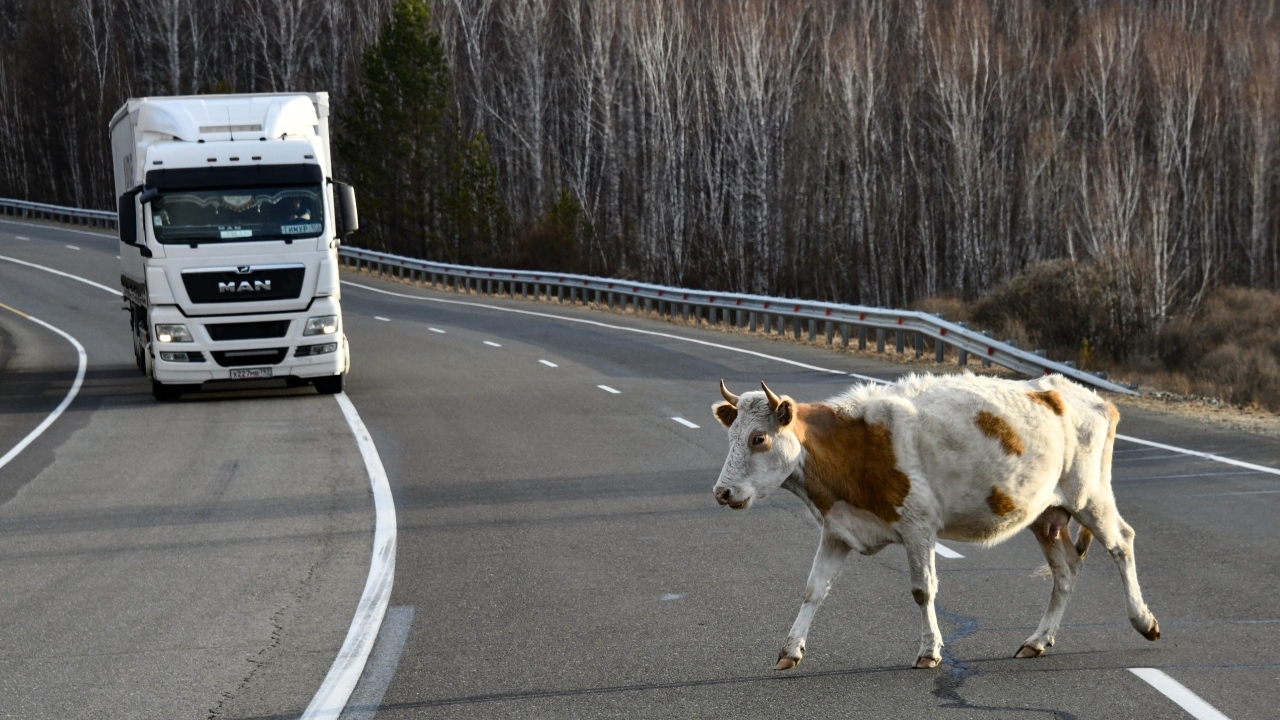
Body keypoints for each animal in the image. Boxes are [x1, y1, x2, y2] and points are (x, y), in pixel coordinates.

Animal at [711, 371, 1162, 671]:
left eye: (759, 438)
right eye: (731, 437)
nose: (722, 492)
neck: (851, 447)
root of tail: (1088, 395)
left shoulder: (918, 527)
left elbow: (922, 591)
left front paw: (930, 651)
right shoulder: (838, 529)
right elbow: (813, 590)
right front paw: (790, 649)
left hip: (1090, 496)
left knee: (1122, 543)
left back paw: (1143, 621)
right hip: (1044, 516)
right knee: (1066, 570)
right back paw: (1038, 640)